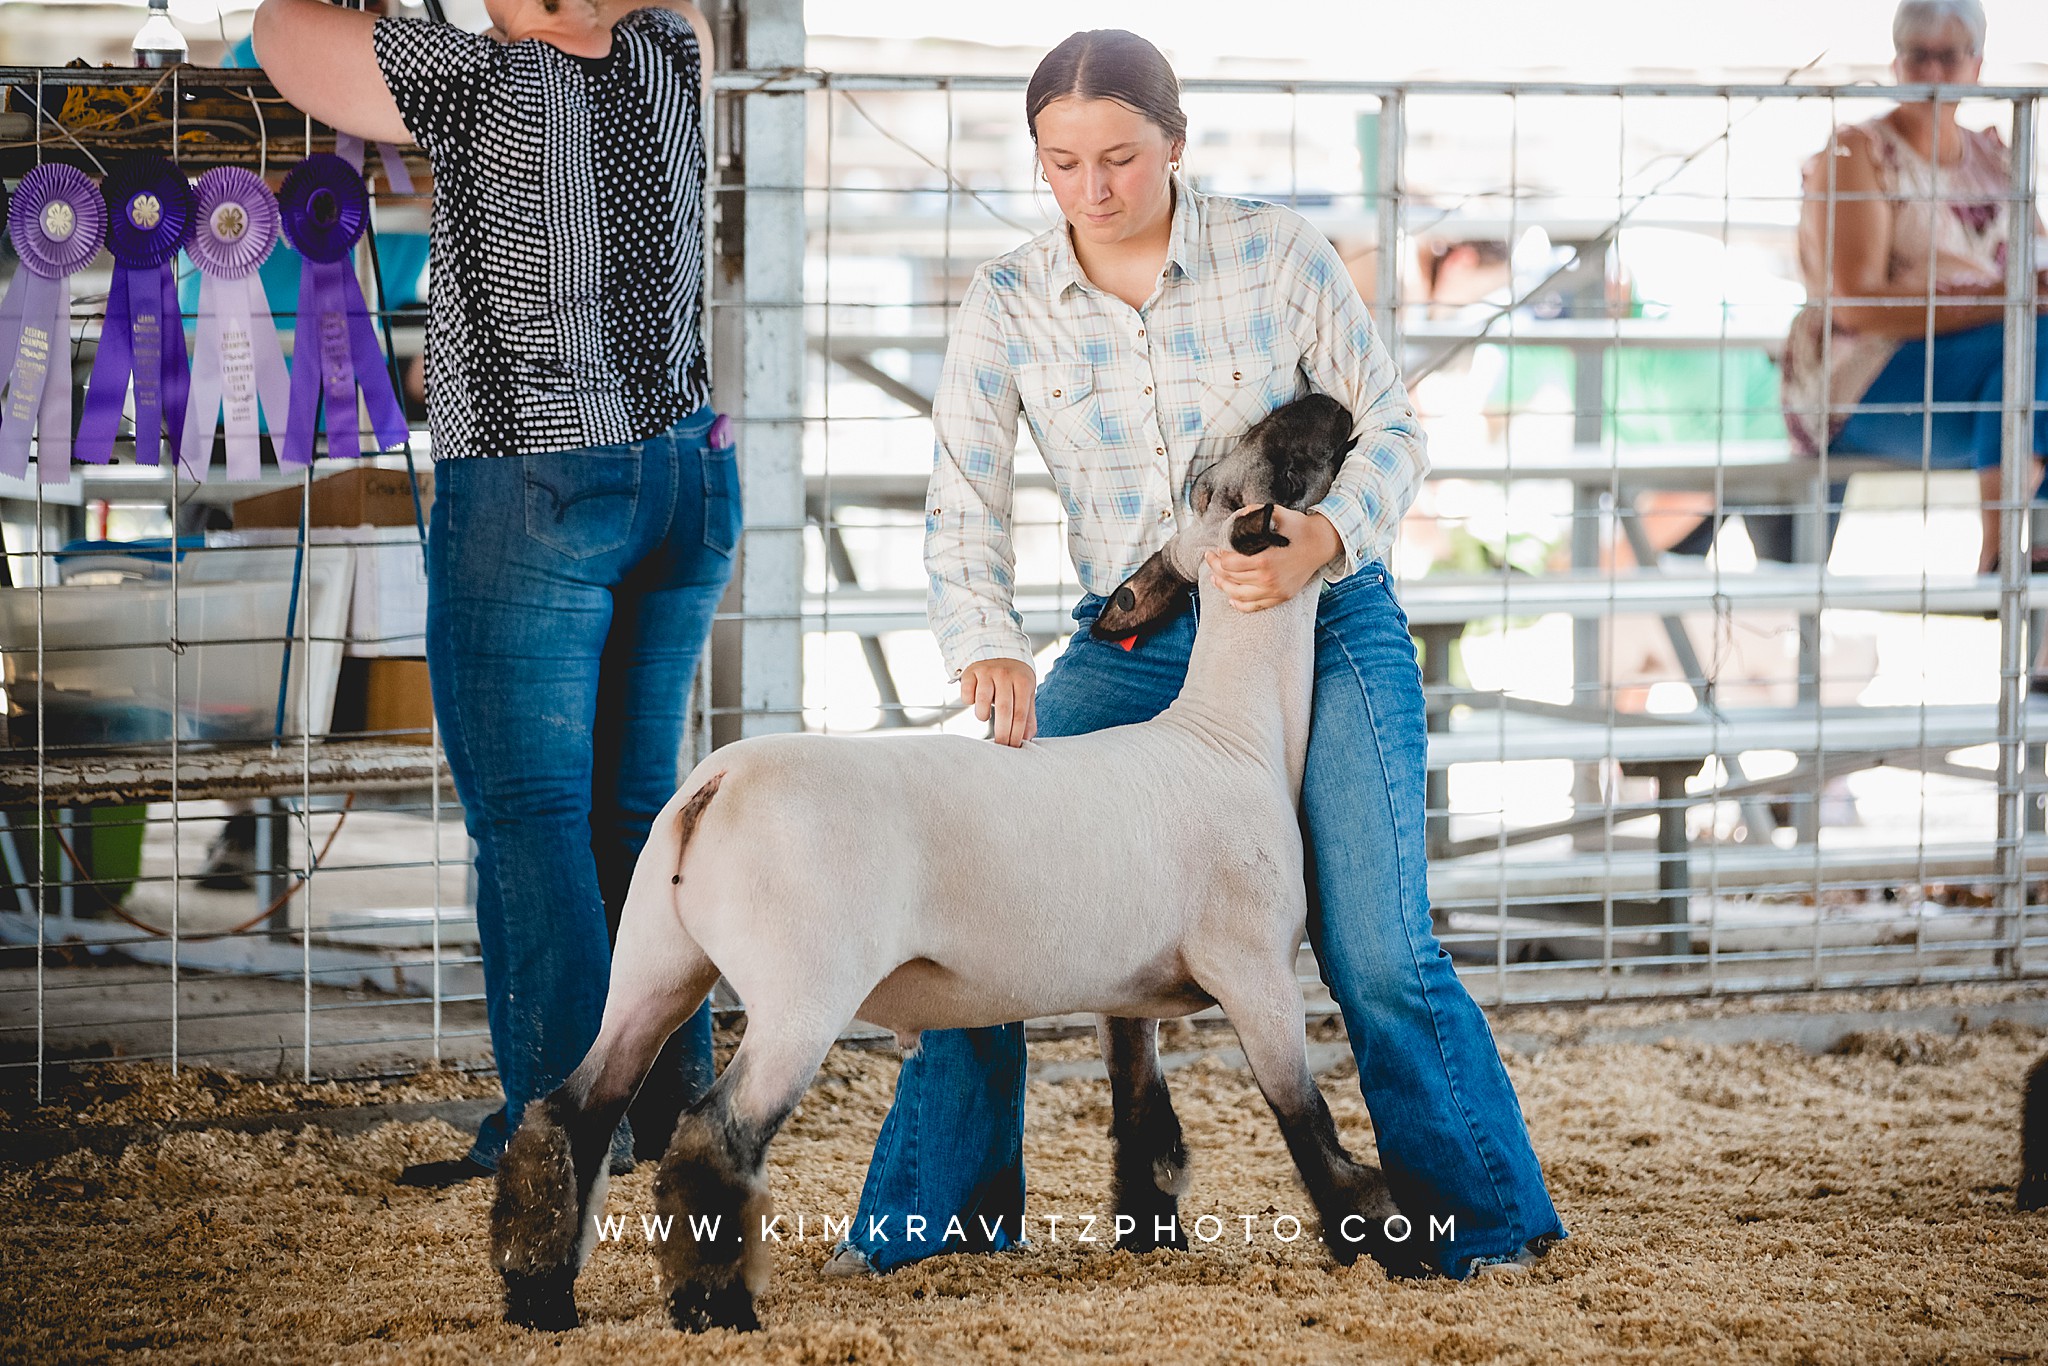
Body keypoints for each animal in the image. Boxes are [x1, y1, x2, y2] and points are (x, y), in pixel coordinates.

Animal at [485, 395, 1417, 1335]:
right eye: (1274, 470)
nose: (1330, 404)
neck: (1234, 736)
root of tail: (713, 784)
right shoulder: (1257, 972)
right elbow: (1308, 1124)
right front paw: (1386, 1241)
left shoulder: (1127, 994)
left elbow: (1142, 1123)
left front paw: (1153, 1241)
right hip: (801, 987)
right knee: (712, 1137)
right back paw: (717, 1311)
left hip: (654, 962)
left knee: (568, 1114)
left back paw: (541, 1296)